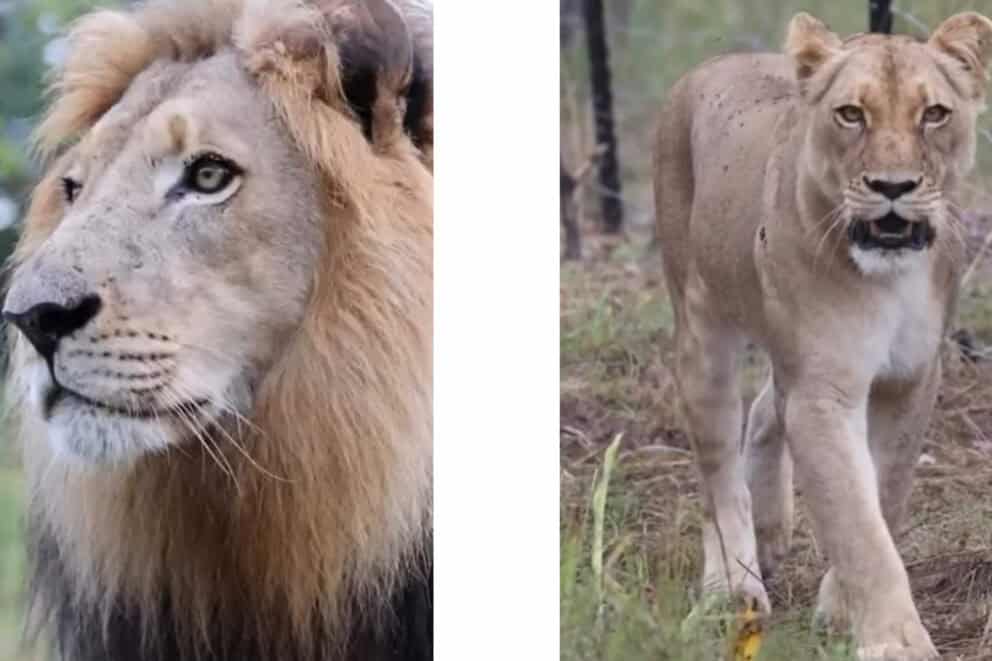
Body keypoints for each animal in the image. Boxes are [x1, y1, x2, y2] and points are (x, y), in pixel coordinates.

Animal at [654, 11, 992, 660]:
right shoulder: (822, 390)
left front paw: (839, 613)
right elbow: (857, 524)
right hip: (701, 332)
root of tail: (714, 63)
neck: (892, 281)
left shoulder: (910, 379)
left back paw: (770, 532)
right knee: (718, 473)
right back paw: (734, 586)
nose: (893, 186)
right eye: (851, 114)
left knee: (766, 411)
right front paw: (895, 642)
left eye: (934, 114)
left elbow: (882, 496)